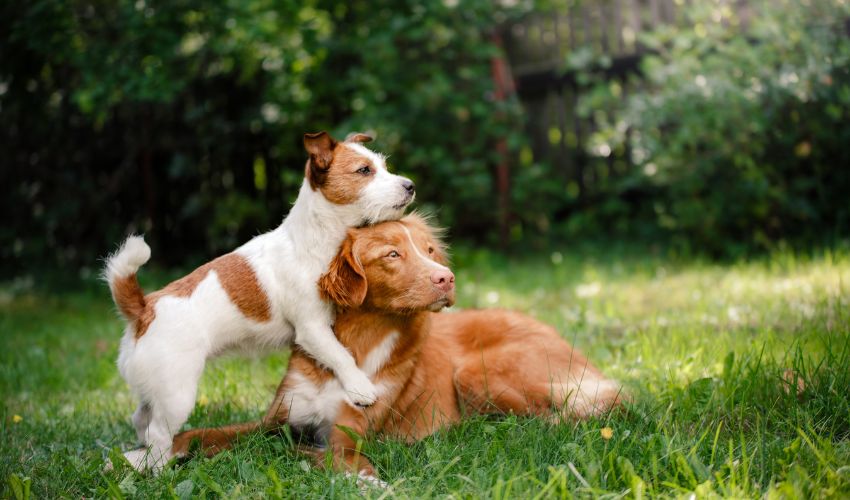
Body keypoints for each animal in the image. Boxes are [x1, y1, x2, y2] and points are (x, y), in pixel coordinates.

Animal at [102, 130, 414, 472]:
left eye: (384, 166)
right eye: (364, 171)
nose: (410, 185)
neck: (314, 239)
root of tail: (144, 309)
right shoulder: (312, 328)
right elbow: (340, 355)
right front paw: (360, 387)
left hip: (154, 390)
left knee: (141, 418)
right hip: (177, 395)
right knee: (158, 434)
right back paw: (159, 472)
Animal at [174, 214, 624, 480]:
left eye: (429, 250)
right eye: (392, 254)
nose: (447, 278)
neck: (357, 344)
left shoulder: (348, 437)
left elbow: (329, 456)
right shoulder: (276, 419)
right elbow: (204, 433)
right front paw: (164, 453)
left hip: (476, 373)